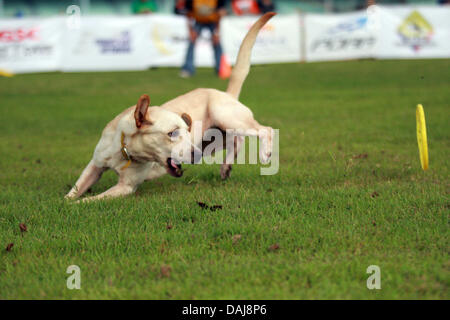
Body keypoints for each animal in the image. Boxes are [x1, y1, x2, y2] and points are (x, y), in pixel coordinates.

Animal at [66, 13, 278, 202]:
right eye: (172, 133)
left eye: (187, 130)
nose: (196, 154)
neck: (126, 150)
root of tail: (227, 94)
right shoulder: (94, 166)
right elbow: (75, 190)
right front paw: (65, 202)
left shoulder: (125, 187)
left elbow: (89, 200)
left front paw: (75, 206)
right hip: (215, 140)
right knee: (237, 141)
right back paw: (226, 167)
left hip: (226, 119)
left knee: (264, 130)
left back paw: (264, 154)